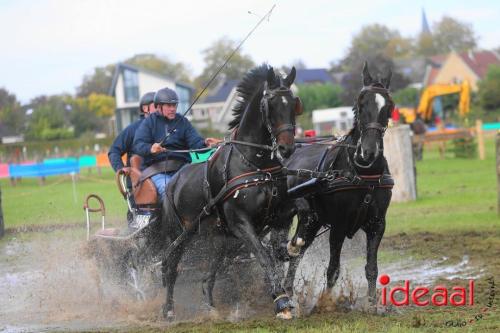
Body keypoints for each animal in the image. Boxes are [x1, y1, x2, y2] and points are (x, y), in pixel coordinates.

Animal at [159, 64, 300, 320]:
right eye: (270, 104)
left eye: (294, 103)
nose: (287, 148)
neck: (256, 164)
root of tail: (173, 181)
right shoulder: (241, 223)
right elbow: (264, 256)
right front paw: (281, 300)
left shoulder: (281, 217)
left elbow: (278, 253)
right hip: (180, 233)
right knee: (172, 266)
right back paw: (169, 309)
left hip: (219, 238)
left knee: (209, 275)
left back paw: (210, 308)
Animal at [282, 61, 394, 304]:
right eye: (360, 103)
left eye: (389, 106)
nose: (369, 151)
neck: (363, 173)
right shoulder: (339, 225)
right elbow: (333, 269)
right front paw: (326, 303)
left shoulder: (377, 224)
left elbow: (371, 268)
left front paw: (373, 304)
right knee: (293, 250)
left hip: (313, 221)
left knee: (297, 252)